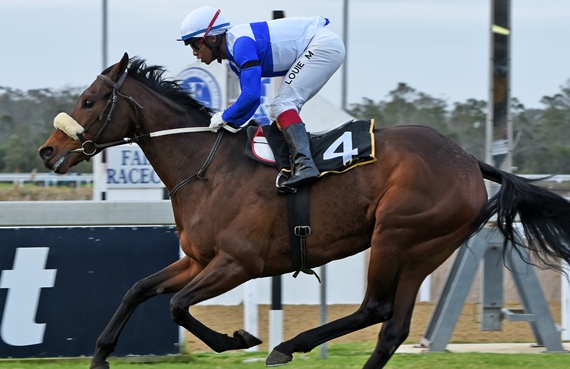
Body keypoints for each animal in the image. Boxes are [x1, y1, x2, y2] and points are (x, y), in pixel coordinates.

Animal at [37, 52, 568, 368]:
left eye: (89, 100)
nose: (47, 151)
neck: (207, 167)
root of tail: (468, 160)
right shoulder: (198, 259)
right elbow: (138, 291)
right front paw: (101, 355)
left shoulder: (239, 263)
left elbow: (177, 305)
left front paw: (240, 339)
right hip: (425, 251)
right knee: (392, 328)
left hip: (396, 236)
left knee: (374, 308)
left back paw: (286, 346)